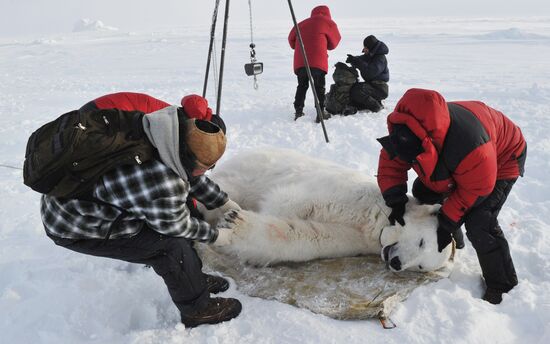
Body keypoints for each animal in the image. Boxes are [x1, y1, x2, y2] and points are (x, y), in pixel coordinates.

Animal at [201, 149, 454, 272]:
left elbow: (309, 236)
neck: (376, 221)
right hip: (247, 172)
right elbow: (290, 199)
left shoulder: (357, 240)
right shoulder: (350, 193)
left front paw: (234, 225)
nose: (397, 263)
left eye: (420, 267)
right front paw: (233, 218)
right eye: (422, 241)